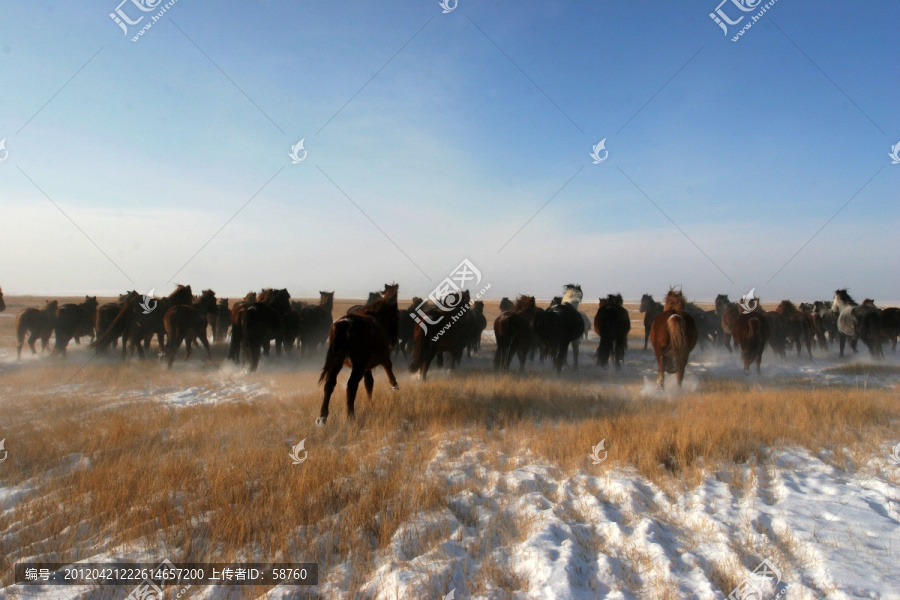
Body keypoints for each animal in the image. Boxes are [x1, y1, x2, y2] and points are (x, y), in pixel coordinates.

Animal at [318, 284, 400, 424]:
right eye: (395, 318)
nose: (393, 342)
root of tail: (345, 324)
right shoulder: (383, 358)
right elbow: (388, 369)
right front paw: (394, 386)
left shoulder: (366, 367)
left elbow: (369, 383)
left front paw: (370, 404)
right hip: (358, 365)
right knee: (351, 385)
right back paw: (351, 416)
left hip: (338, 362)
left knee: (330, 384)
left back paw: (322, 417)